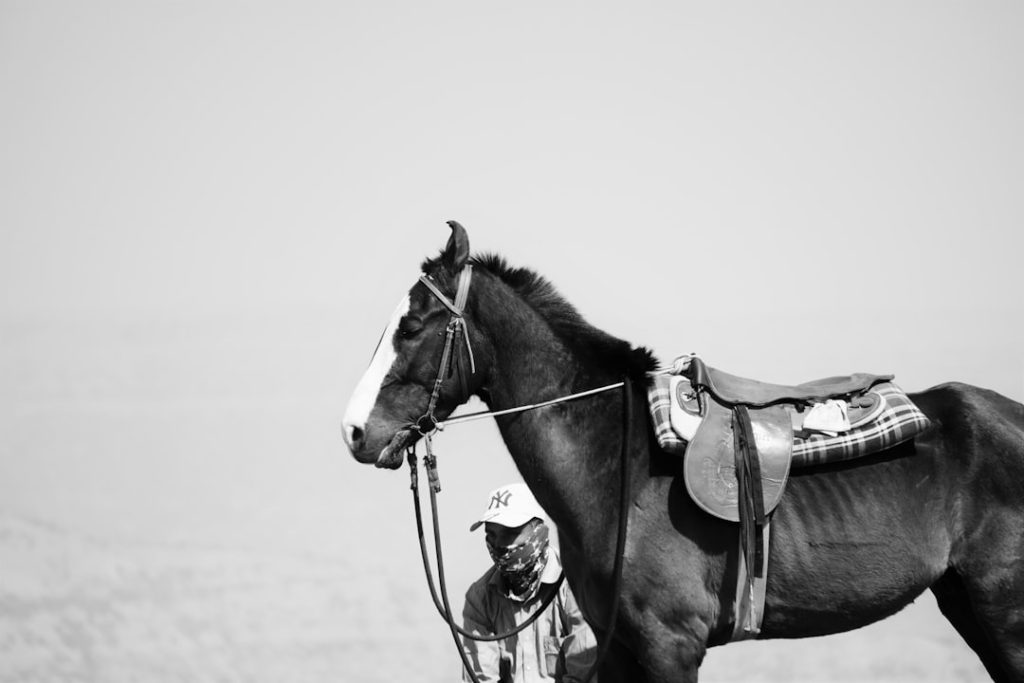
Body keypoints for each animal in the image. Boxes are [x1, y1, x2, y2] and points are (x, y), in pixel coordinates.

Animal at [342, 222, 1024, 682]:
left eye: (412, 326)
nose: (354, 431)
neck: (619, 470)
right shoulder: (617, 649)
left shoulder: (672, 647)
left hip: (1005, 615)